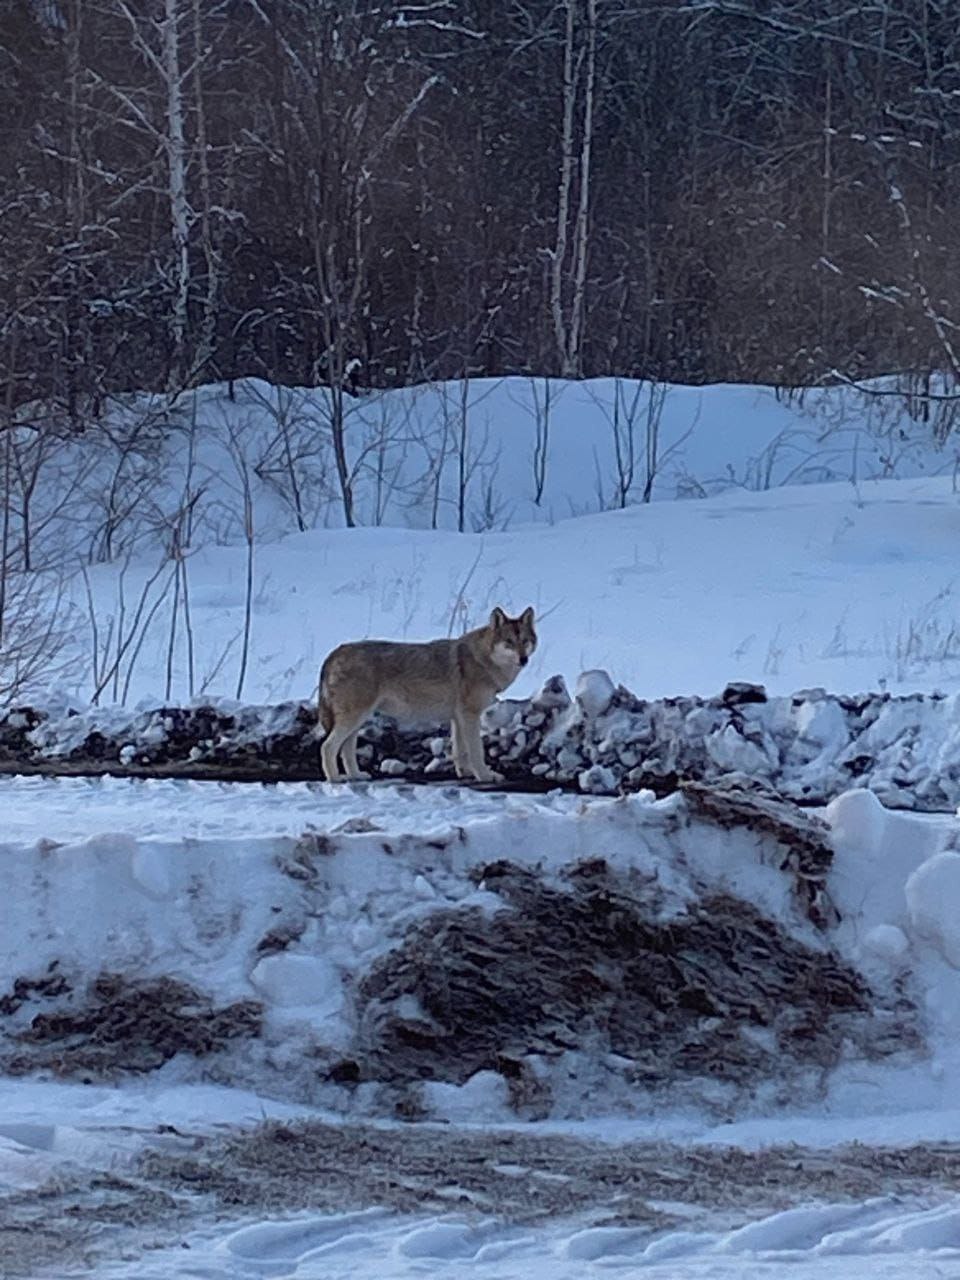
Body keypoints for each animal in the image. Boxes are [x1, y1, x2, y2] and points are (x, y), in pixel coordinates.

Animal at [320, 606, 537, 783]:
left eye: (525, 641)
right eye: (509, 642)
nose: (523, 659)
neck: (483, 660)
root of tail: (335, 652)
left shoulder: (458, 718)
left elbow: (460, 752)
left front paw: (465, 773)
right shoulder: (469, 716)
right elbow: (476, 752)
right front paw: (485, 776)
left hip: (358, 721)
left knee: (346, 750)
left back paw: (356, 776)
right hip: (354, 718)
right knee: (327, 747)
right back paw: (335, 780)